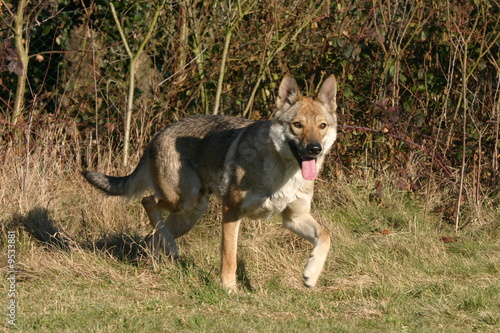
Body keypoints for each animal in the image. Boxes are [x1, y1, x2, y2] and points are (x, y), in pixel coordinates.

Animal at [84, 74, 338, 290]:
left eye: (322, 126)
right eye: (298, 125)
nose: (314, 149)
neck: (283, 172)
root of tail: (157, 135)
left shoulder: (295, 218)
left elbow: (325, 237)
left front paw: (311, 275)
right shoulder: (231, 211)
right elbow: (229, 255)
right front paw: (228, 289)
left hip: (191, 212)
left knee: (152, 235)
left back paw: (160, 259)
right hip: (183, 201)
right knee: (147, 201)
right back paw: (169, 248)